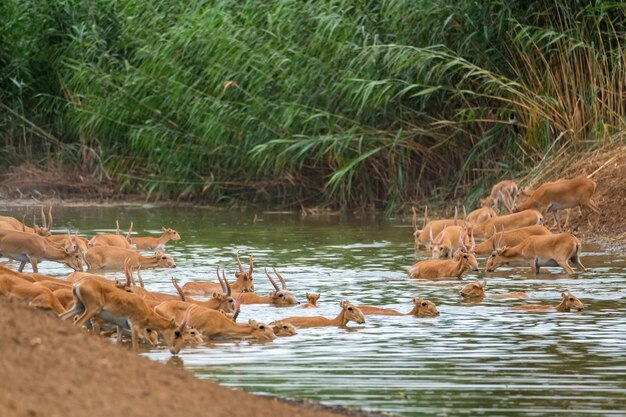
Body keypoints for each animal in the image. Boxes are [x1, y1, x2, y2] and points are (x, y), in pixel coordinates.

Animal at [59, 274, 190, 352]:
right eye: (177, 332)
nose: (176, 351)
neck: (146, 311)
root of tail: (78, 284)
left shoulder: (120, 326)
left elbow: (119, 342)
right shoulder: (134, 327)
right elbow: (135, 348)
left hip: (79, 307)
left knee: (62, 317)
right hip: (91, 310)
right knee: (76, 323)